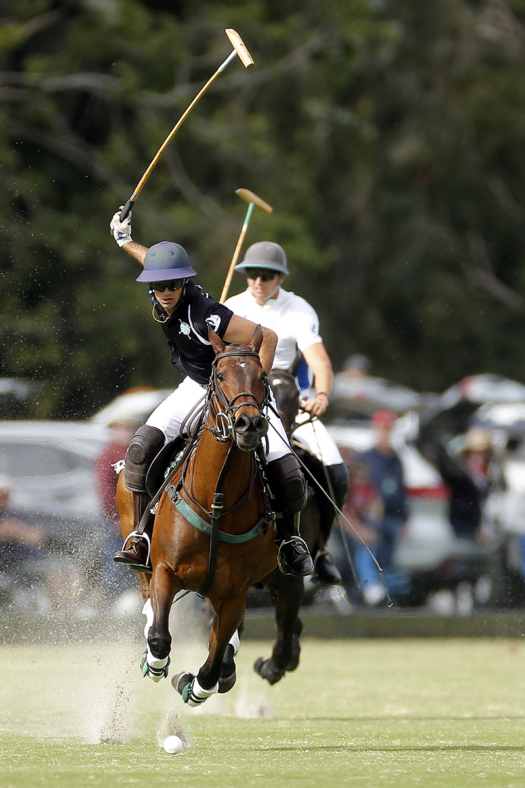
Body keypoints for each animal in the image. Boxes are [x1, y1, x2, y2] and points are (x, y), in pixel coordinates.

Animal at [115, 324, 278, 704]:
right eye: (219, 376)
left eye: (263, 376)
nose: (248, 424)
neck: (217, 499)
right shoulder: (165, 569)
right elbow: (160, 636)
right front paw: (156, 665)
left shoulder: (234, 594)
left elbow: (214, 663)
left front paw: (195, 685)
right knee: (145, 590)